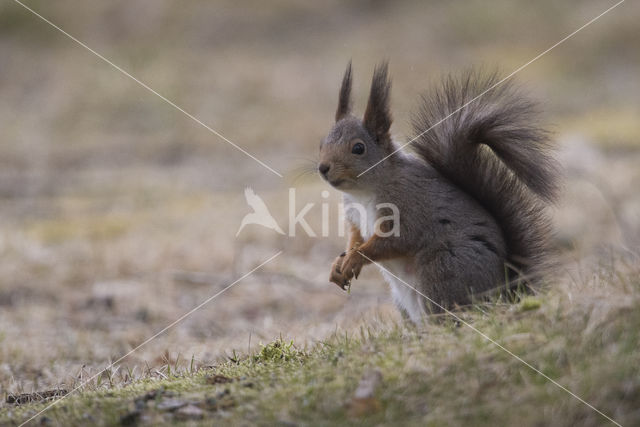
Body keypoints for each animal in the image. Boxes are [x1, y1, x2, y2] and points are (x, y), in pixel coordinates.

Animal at [318, 62, 556, 324]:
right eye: (322, 144)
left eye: (358, 148)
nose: (323, 168)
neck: (364, 191)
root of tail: (505, 293)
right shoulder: (355, 216)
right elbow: (355, 237)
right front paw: (339, 263)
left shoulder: (408, 206)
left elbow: (396, 240)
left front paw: (356, 257)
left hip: (442, 271)